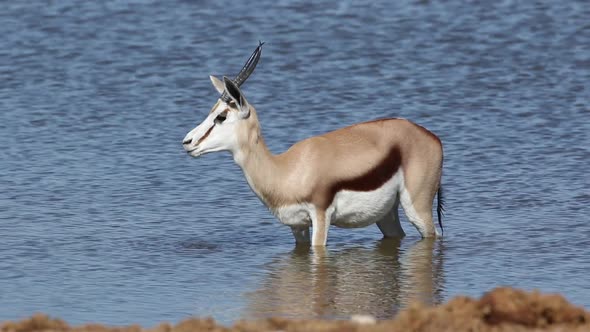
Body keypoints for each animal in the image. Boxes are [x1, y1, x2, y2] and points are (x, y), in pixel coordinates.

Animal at [183, 42, 446, 246]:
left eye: (221, 116)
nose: (188, 141)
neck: (284, 170)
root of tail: (431, 137)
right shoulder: (297, 225)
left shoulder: (321, 216)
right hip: (386, 215)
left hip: (417, 209)